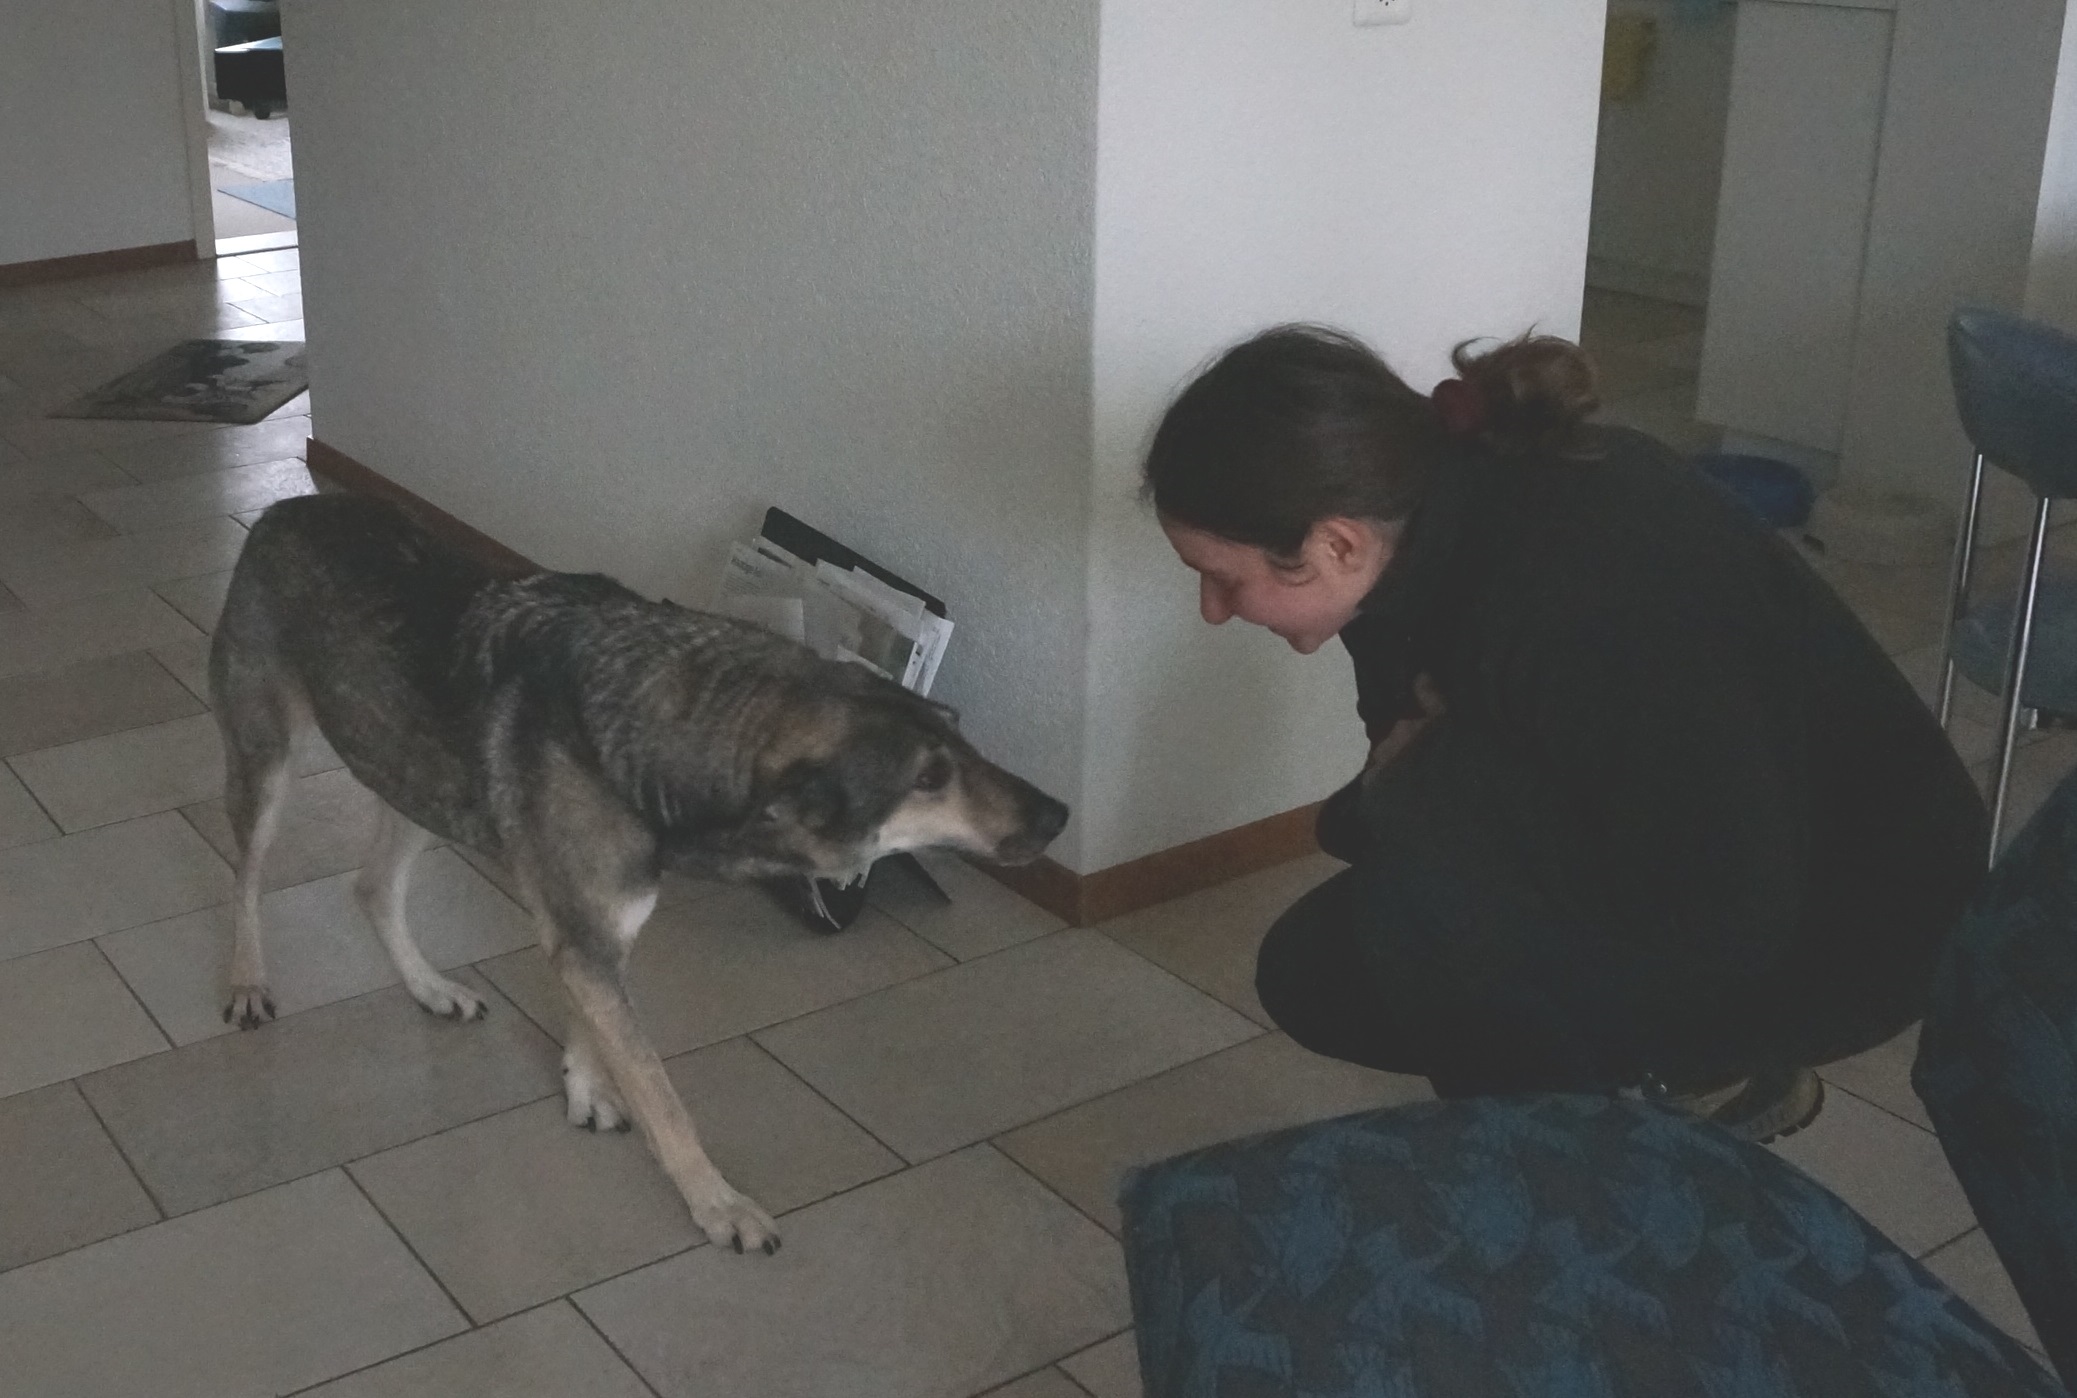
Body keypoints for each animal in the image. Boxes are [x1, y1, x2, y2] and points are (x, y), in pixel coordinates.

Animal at [209, 494, 1068, 1253]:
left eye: (962, 739)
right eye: (928, 778)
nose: (1059, 814)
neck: (685, 726)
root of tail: (285, 507)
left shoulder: (597, 932)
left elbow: (594, 1026)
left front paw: (586, 1087)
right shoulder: (588, 940)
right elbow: (661, 1092)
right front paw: (717, 1204)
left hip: (414, 772)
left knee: (373, 888)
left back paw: (430, 988)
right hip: (270, 760)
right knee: (246, 877)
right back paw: (247, 980)